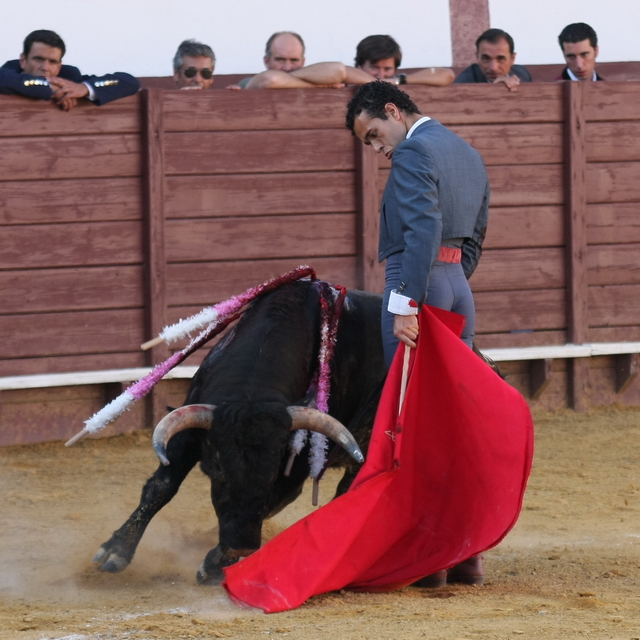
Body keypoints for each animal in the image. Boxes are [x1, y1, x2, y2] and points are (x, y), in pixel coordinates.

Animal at [94, 282, 384, 584]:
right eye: (219, 470)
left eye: (273, 471)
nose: (241, 546)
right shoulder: (190, 432)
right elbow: (161, 487)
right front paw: (116, 550)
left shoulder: (295, 471)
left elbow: (271, 502)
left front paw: (214, 565)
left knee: (346, 492)